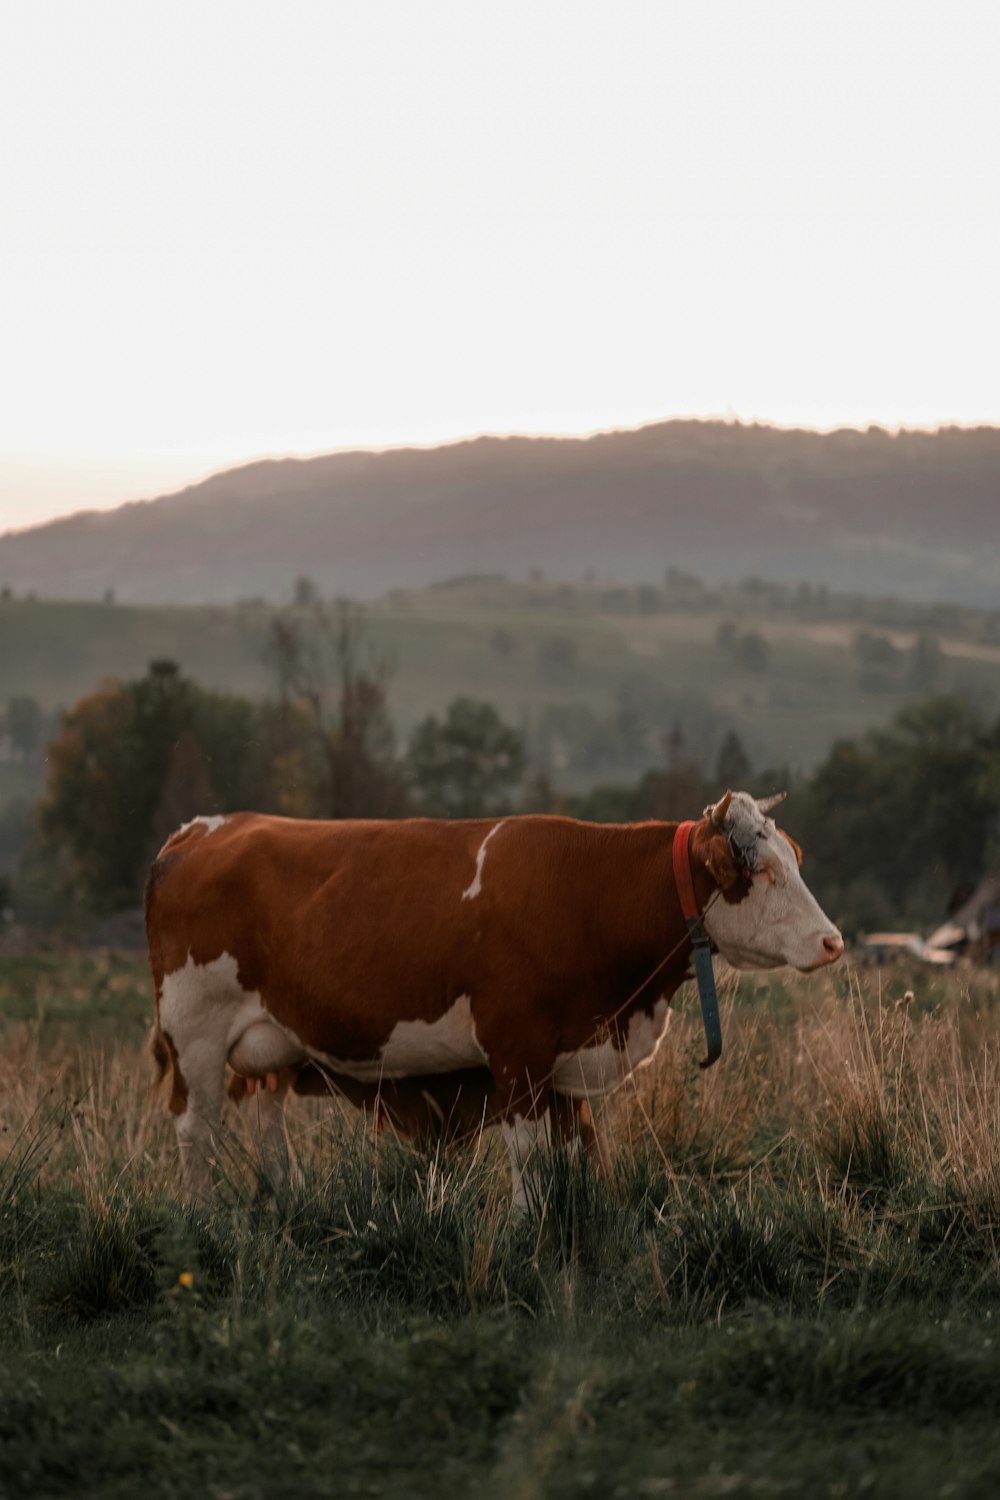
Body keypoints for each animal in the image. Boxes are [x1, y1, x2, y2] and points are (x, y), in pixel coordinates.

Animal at [144, 798, 839, 1206]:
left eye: (792, 860)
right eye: (762, 872)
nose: (832, 941)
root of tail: (196, 830)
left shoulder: (566, 1062)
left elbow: (583, 1150)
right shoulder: (518, 1052)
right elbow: (530, 1164)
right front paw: (529, 1239)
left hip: (274, 1041)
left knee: (266, 1116)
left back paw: (292, 1202)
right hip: (195, 1032)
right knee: (197, 1128)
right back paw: (204, 1222)